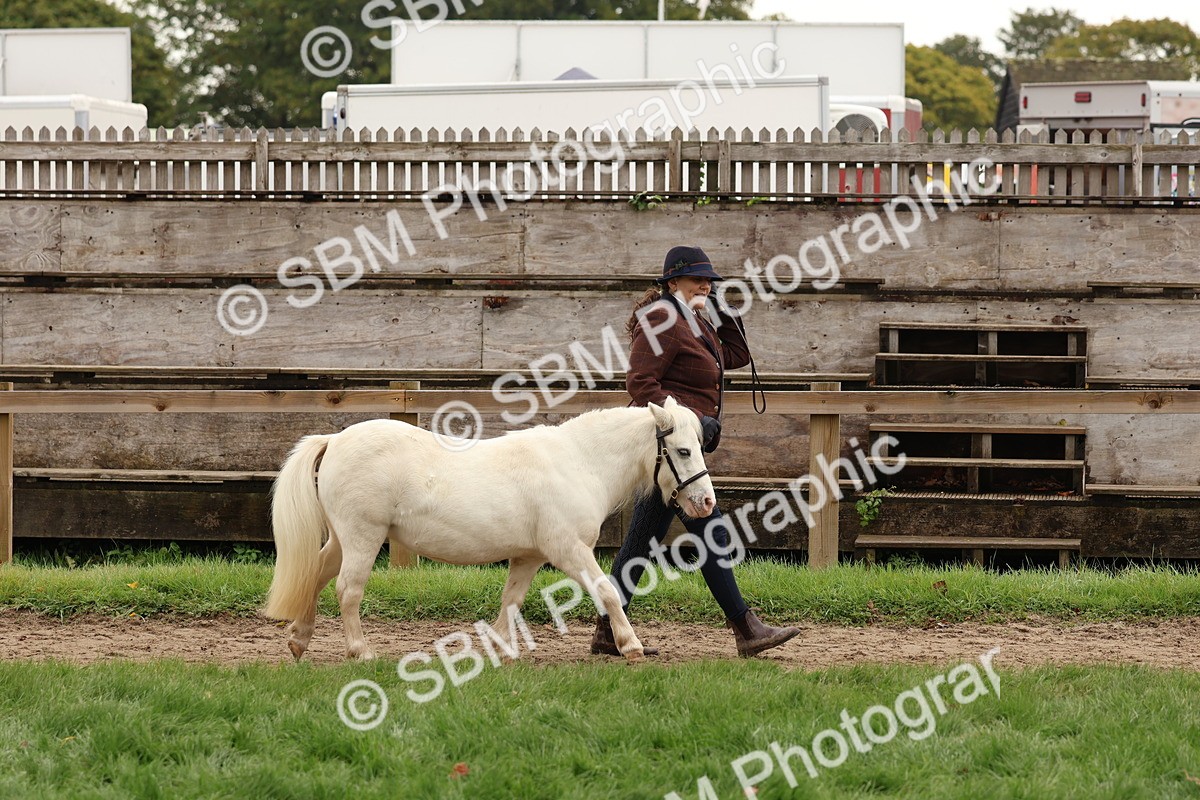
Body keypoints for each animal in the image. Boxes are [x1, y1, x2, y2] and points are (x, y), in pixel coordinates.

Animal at [262, 396, 715, 663]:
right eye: (683, 450)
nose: (707, 502)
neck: (578, 462)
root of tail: (335, 439)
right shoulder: (568, 549)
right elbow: (606, 590)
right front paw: (631, 646)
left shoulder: (529, 556)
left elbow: (510, 602)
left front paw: (498, 649)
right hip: (363, 536)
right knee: (348, 589)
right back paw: (360, 652)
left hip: (343, 539)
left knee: (316, 575)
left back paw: (299, 640)